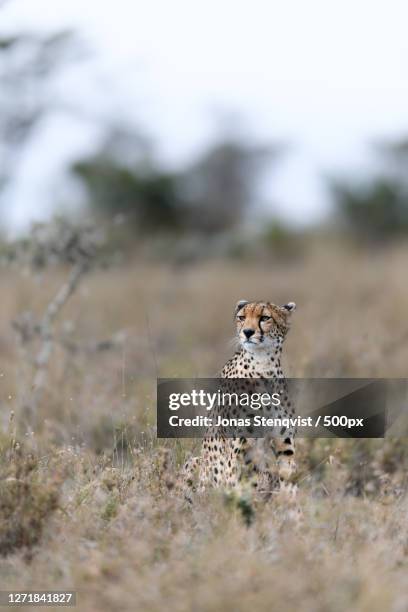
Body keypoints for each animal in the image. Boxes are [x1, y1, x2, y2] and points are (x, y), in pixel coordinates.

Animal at [184, 298, 296, 500]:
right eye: (242, 317)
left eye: (265, 317)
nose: (248, 332)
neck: (263, 365)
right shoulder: (239, 449)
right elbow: (238, 485)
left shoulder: (285, 444)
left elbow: (290, 482)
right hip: (196, 465)